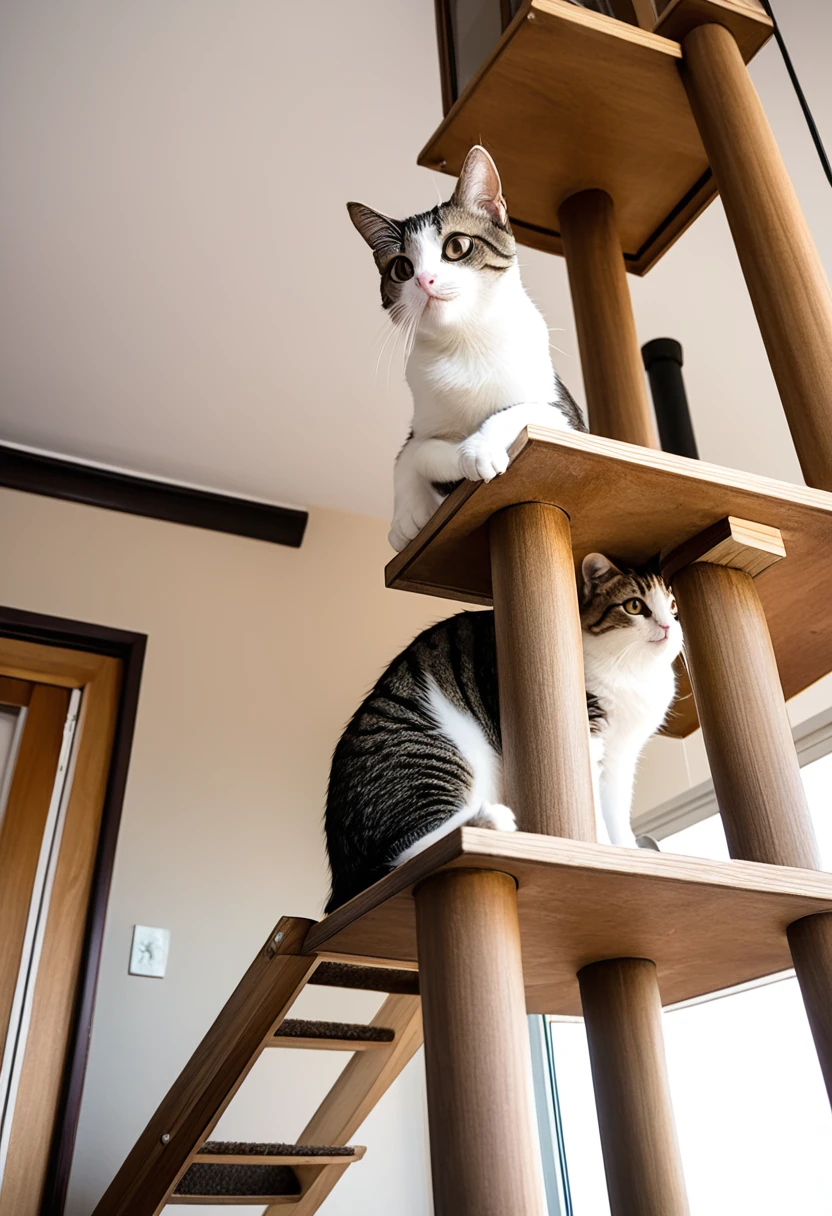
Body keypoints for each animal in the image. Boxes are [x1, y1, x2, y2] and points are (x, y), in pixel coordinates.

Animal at [325, 556, 681, 909]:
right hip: (430, 756)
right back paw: (491, 821)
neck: (635, 673)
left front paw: (629, 853)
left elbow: (617, 812)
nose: (668, 626)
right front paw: (600, 849)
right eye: (635, 606)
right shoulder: (590, 738)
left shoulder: (622, 756)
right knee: (405, 853)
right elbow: (595, 807)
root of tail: (342, 879)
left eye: (674, 606)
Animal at [345, 142, 583, 552]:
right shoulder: (421, 423)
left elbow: (521, 410)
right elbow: (410, 452)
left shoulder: (567, 419)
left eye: (457, 246)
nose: (425, 279)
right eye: (402, 269)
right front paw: (406, 517)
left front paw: (477, 448)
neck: (464, 343)